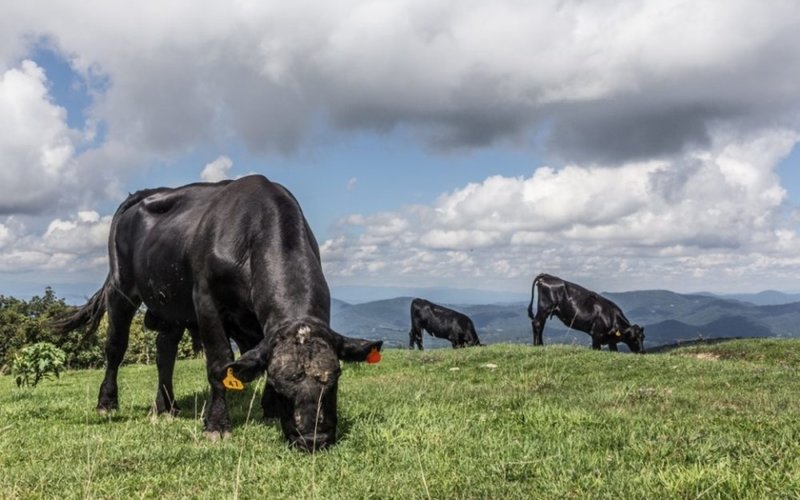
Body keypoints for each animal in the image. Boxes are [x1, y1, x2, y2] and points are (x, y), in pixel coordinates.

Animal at [54, 176, 384, 454]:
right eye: (281, 384)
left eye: (335, 376)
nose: (314, 439)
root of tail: (145, 192)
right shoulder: (206, 301)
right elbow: (220, 362)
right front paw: (217, 425)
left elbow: (252, 358)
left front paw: (268, 410)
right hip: (121, 288)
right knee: (115, 347)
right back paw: (107, 403)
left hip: (171, 306)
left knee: (165, 351)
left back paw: (166, 407)